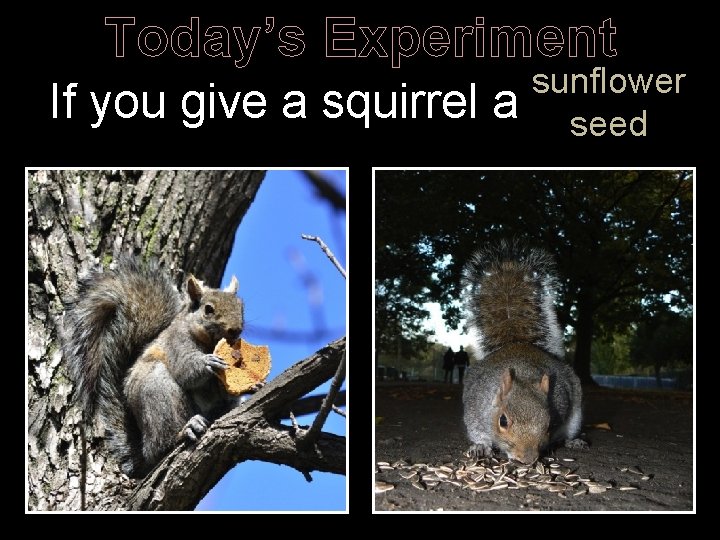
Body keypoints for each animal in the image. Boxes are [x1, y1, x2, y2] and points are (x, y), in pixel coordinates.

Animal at [62, 257, 244, 477]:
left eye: (241, 307)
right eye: (208, 309)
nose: (236, 330)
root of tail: (144, 451)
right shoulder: (176, 343)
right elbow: (185, 371)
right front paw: (209, 362)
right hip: (157, 393)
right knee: (160, 446)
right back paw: (184, 431)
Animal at [461, 241, 586, 465]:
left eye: (549, 424)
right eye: (502, 421)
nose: (527, 459)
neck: (523, 374)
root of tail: (516, 342)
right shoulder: (475, 408)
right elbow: (478, 431)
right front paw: (480, 447)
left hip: (576, 415)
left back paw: (574, 441)